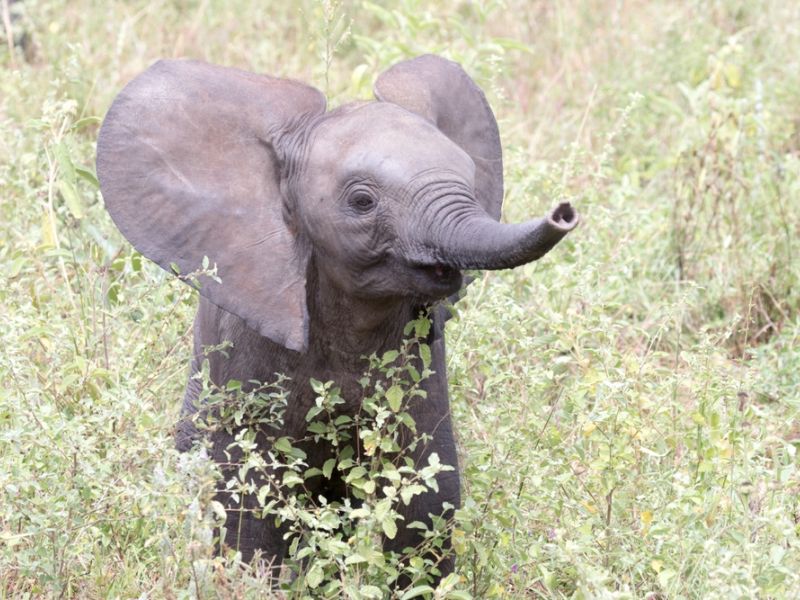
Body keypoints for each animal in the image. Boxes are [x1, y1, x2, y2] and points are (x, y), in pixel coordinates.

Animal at [96, 55, 578, 586]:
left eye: (471, 183)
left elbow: (428, 486)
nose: (564, 211)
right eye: (362, 201)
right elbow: (249, 495)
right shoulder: (248, 341)